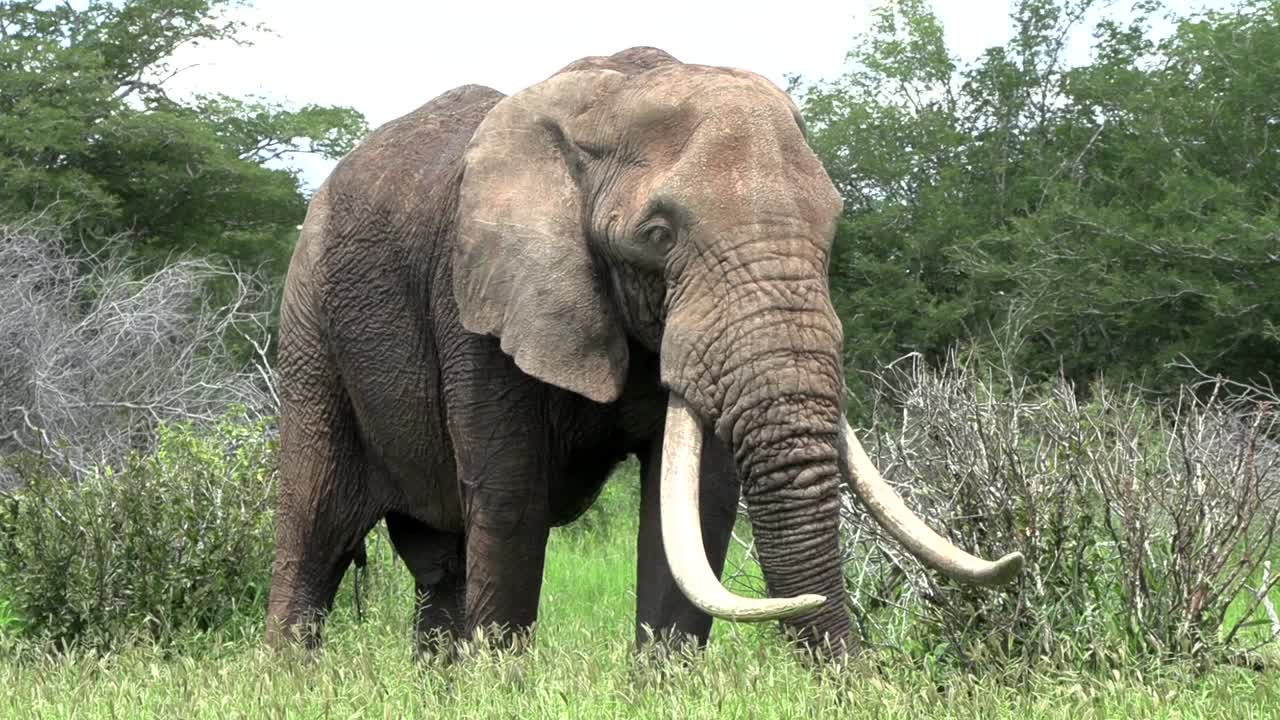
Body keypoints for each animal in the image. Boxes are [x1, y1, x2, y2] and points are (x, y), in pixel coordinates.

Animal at [265, 45, 1023, 658]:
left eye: (833, 225)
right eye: (658, 235)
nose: (854, 678)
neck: (609, 97)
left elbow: (697, 508)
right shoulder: (476, 300)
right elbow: (510, 502)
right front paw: (501, 688)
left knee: (441, 566)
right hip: (309, 329)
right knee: (313, 535)